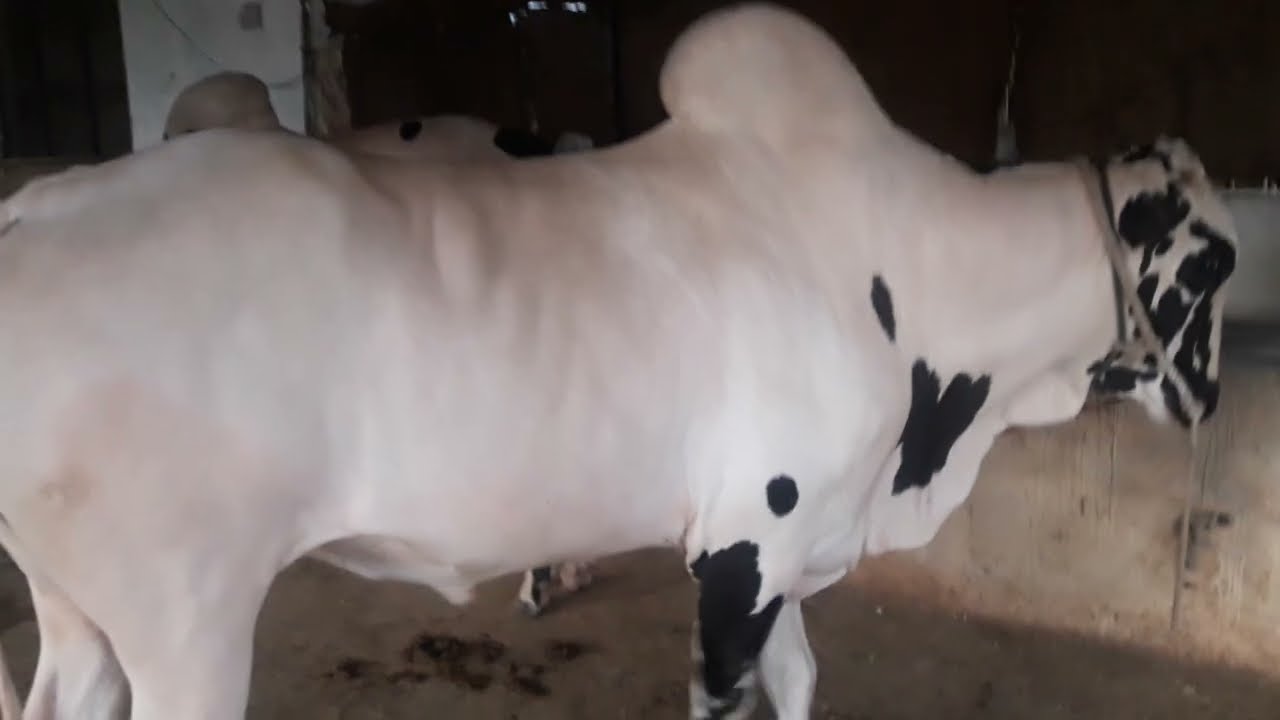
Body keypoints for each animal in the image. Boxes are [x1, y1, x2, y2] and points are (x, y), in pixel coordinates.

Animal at [0, 4, 1237, 719]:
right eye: (1216, 262)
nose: (1211, 396)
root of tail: (37, 210)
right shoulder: (741, 550)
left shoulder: (790, 544)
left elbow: (797, 681)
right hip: (185, 624)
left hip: (76, 607)